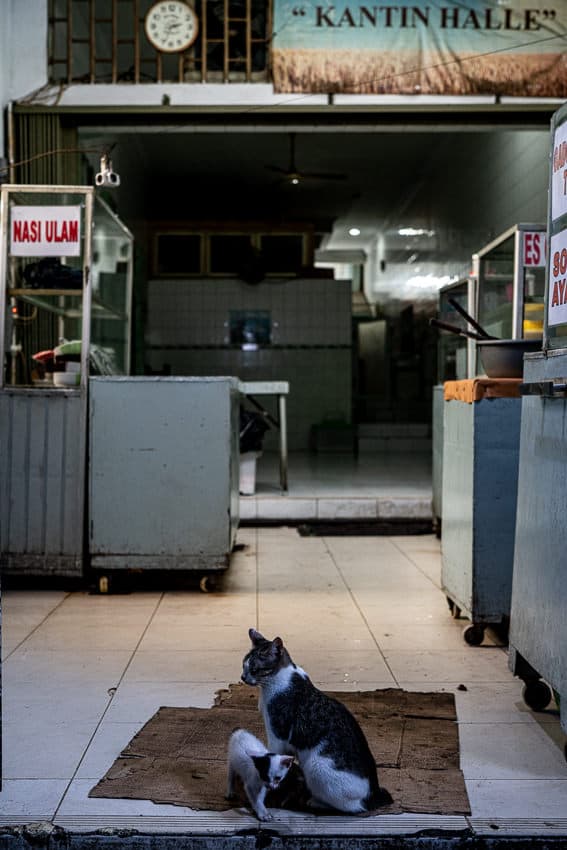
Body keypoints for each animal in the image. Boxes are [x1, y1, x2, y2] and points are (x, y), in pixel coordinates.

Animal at [242, 628, 392, 812]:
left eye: (254, 669)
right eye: (243, 665)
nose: (242, 677)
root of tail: (373, 793)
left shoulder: (277, 735)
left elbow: (274, 756)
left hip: (315, 767)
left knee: (352, 807)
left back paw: (314, 801)